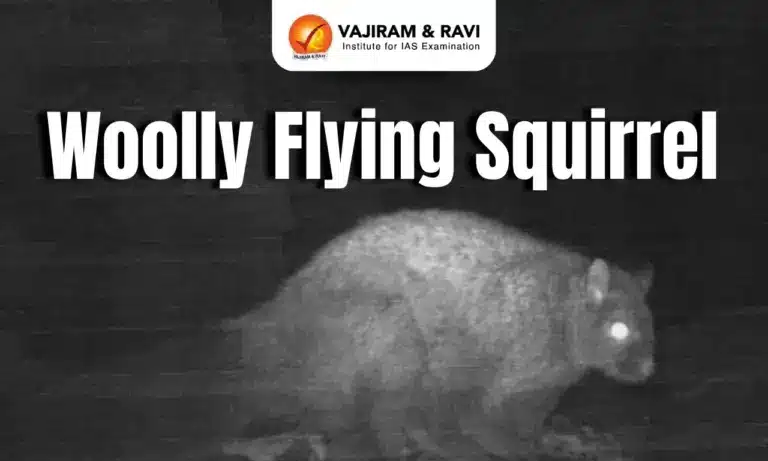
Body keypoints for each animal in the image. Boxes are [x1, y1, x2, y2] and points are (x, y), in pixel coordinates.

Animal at [223, 208, 656, 460]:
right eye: (620, 329)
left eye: (649, 329)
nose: (648, 369)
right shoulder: (474, 377)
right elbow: (480, 426)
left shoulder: (534, 392)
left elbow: (526, 426)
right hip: (397, 332)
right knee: (370, 423)